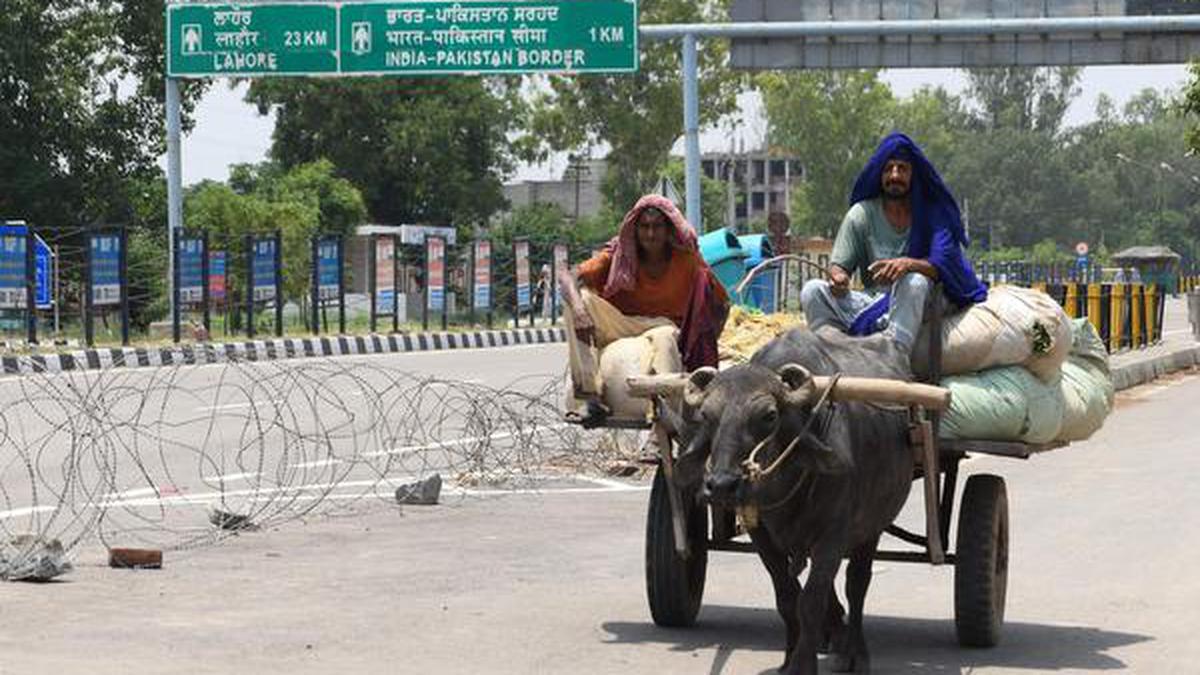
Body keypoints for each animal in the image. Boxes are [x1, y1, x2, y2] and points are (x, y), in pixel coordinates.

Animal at [672, 329, 912, 667]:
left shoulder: (833, 536)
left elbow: (809, 602)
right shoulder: (761, 534)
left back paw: (855, 651)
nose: (721, 485)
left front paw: (803, 663)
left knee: (857, 583)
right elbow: (787, 596)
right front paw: (788, 658)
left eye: (769, 415)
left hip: (872, 526)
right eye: (707, 415)